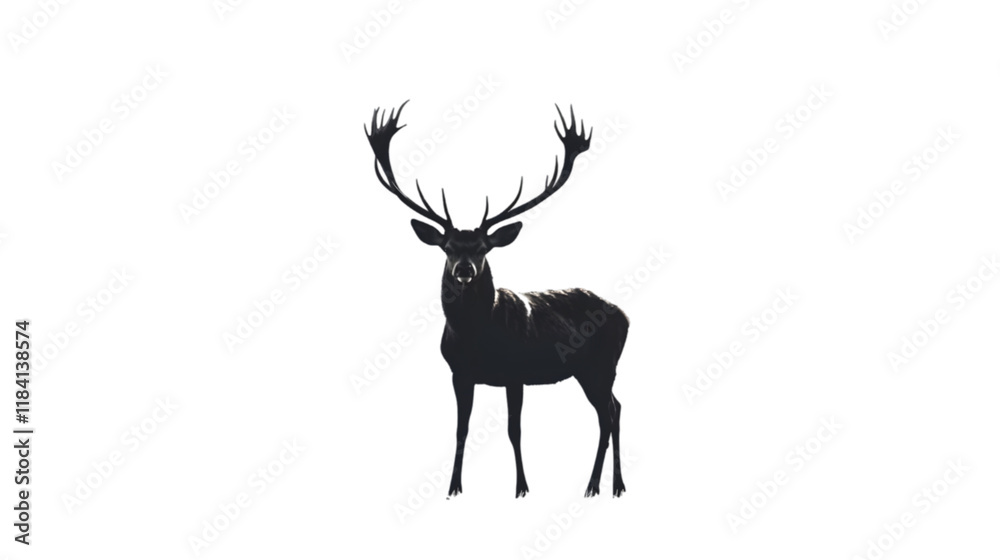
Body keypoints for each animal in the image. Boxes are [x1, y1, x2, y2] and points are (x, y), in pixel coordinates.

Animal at [365, 101, 629, 498]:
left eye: (483, 248)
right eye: (447, 247)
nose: (464, 269)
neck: (476, 339)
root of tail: (625, 315)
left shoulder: (515, 371)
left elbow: (514, 430)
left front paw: (522, 488)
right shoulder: (459, 374)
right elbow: (460, 430)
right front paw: (454, 488)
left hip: (600, 365)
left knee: (608, 414)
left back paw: (598, 486)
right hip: (593, 371)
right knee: (615, 408)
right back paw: (611, 486)